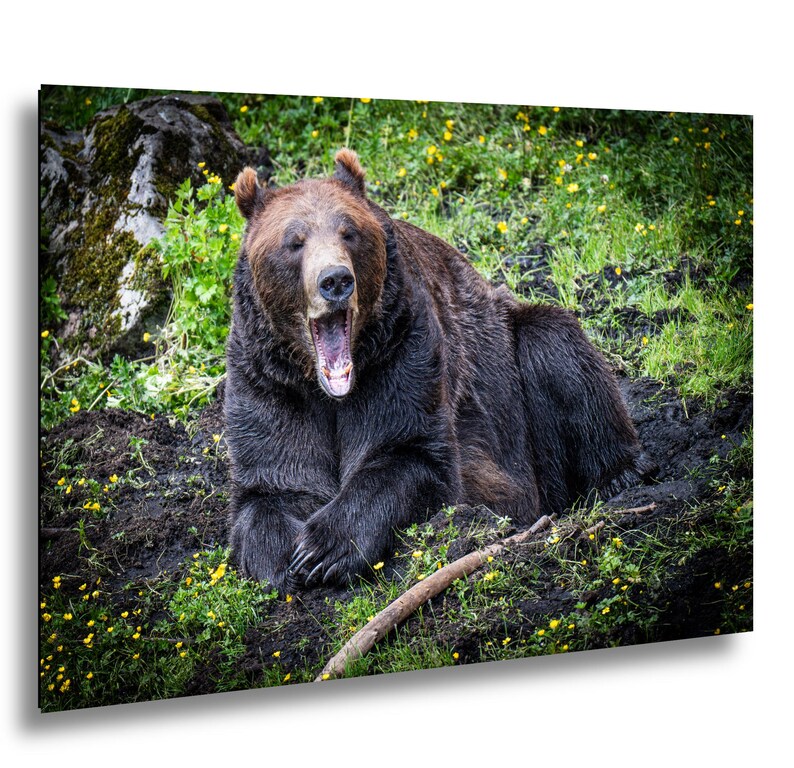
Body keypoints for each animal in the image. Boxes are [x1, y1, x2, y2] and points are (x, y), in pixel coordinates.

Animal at [224, 148, 654, 593]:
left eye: (348, 232)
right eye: (294, 241)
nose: (335, 280)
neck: (328, 388)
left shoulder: (402, 352)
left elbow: (410, 454)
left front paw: (323, 548)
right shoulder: (270, 382)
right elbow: (273, 481)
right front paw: (283, 561)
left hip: (510, 358)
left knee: (556, 348)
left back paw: (620, 475)